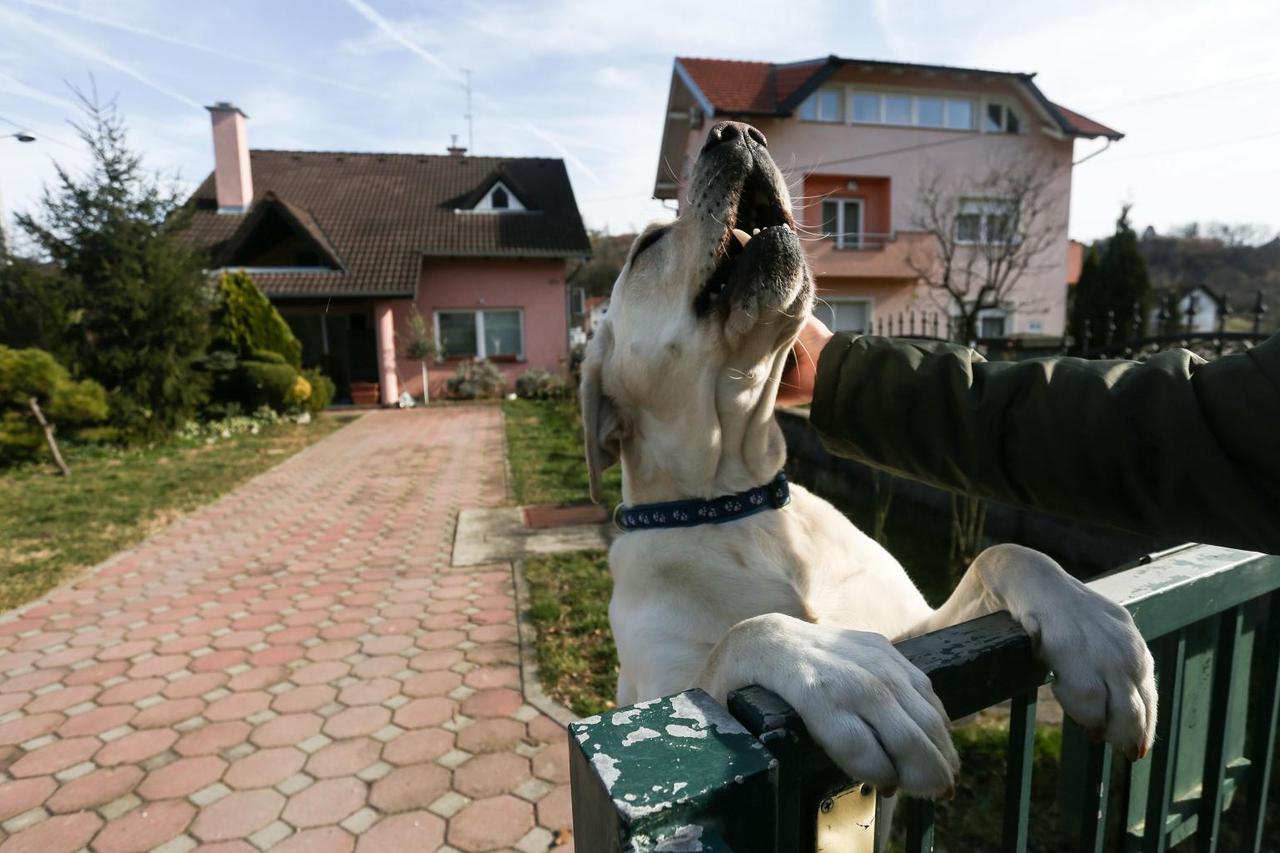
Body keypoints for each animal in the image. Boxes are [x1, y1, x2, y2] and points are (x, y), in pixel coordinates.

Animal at [583, 119, 1162, 799]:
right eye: (647, 246)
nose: (735, 130)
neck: (737, 499)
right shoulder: (661, 710)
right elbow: (741, 635)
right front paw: (842, 670)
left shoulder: (925, 633)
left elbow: (1002, 552)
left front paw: (1088, 623)